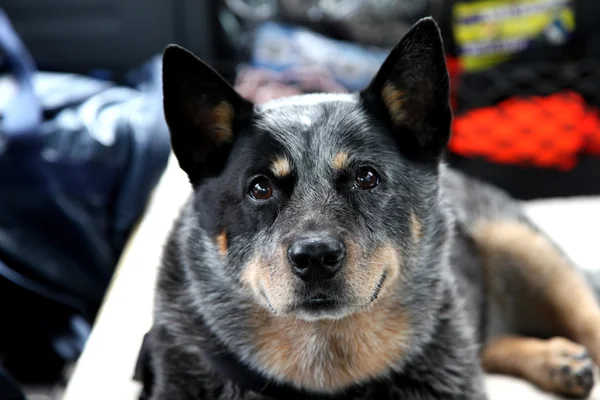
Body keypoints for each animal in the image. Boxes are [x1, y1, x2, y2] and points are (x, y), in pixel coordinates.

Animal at [148, 18, 600, 400]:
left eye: (366, 177)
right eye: (260, 187)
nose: (315, 256)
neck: (327, 370)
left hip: (527, 249)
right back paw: (554, 359)